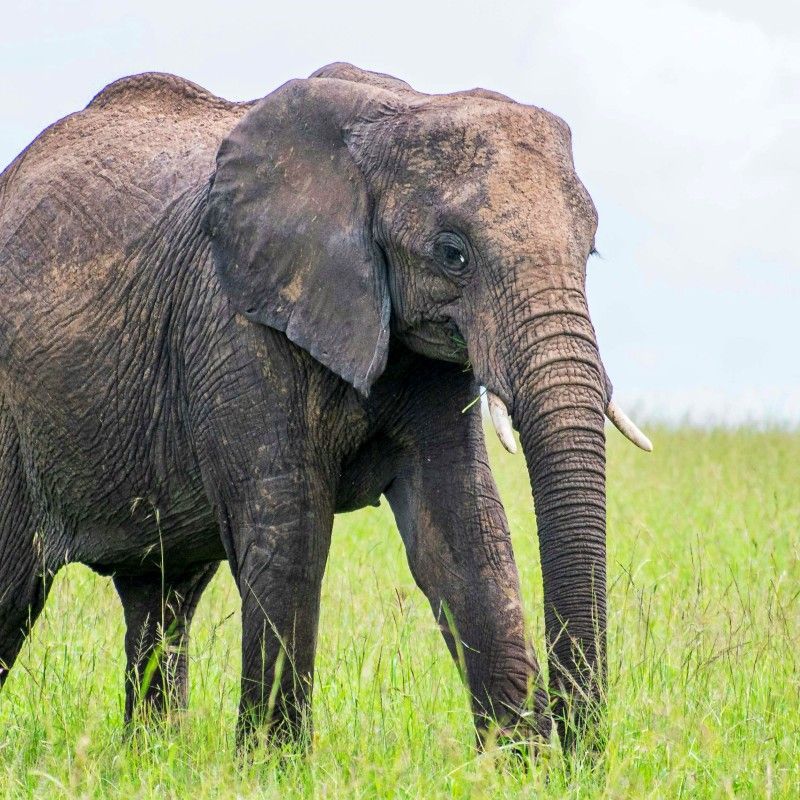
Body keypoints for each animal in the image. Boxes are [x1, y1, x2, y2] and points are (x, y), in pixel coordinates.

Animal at [0, 62, 650, 750]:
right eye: (453, 253)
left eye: (590, 252)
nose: (577, 746)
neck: (398, 112)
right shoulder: (236, 322)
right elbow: (291, 537)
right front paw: (272, 764)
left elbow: (465, 533)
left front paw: (514, 762)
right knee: (14, 593)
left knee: (162, 599)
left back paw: (152, 756)